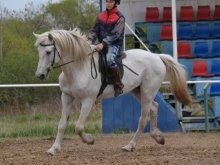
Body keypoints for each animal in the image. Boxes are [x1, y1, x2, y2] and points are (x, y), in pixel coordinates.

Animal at [33, 28, 191, 156]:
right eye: (39, 52)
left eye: (48, 52)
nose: (40, 75)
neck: (78, 67)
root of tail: (157, 57)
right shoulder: (66, 97)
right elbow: (61, 125)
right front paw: (53, 149)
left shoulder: (88, 100)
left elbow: (78, 127)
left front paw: (90, 140)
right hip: (137, 91)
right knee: (154, 108)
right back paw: (158, 137)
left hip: (147, 92)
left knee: (143, 119)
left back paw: (130, 146)